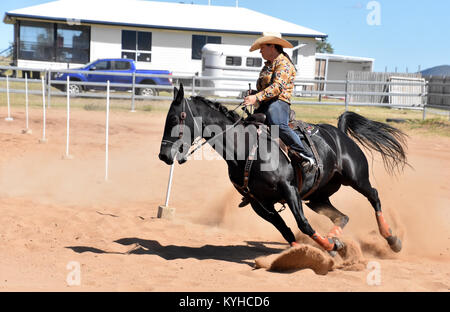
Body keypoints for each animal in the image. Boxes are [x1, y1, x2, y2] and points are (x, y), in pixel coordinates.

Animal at [159, 84, 408, 254]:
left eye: (175, 118)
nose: (163, 155)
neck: (246, 148)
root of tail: (339, 133)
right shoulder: (259, 203)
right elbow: (286, 230)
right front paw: (318, 251)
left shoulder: (289, 189)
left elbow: (303, 224)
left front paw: (329, 250)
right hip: (317, 197)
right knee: (342, 217)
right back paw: (335, 238)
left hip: (356, 178)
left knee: (374, 196)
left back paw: (392, 239)